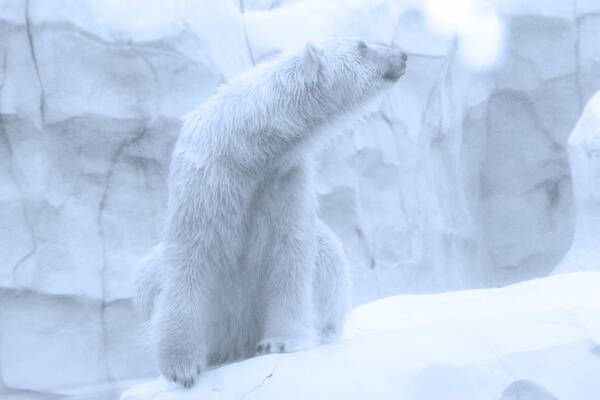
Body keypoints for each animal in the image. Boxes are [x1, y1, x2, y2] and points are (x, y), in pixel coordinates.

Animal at [135, 39, 408, 386]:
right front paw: (182, 367)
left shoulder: (284, 179)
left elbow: (289, 254)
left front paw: (278, 342)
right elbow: (190, 260)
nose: (403, 55)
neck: (247, 148)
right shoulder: (206, 180)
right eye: (362, 45)